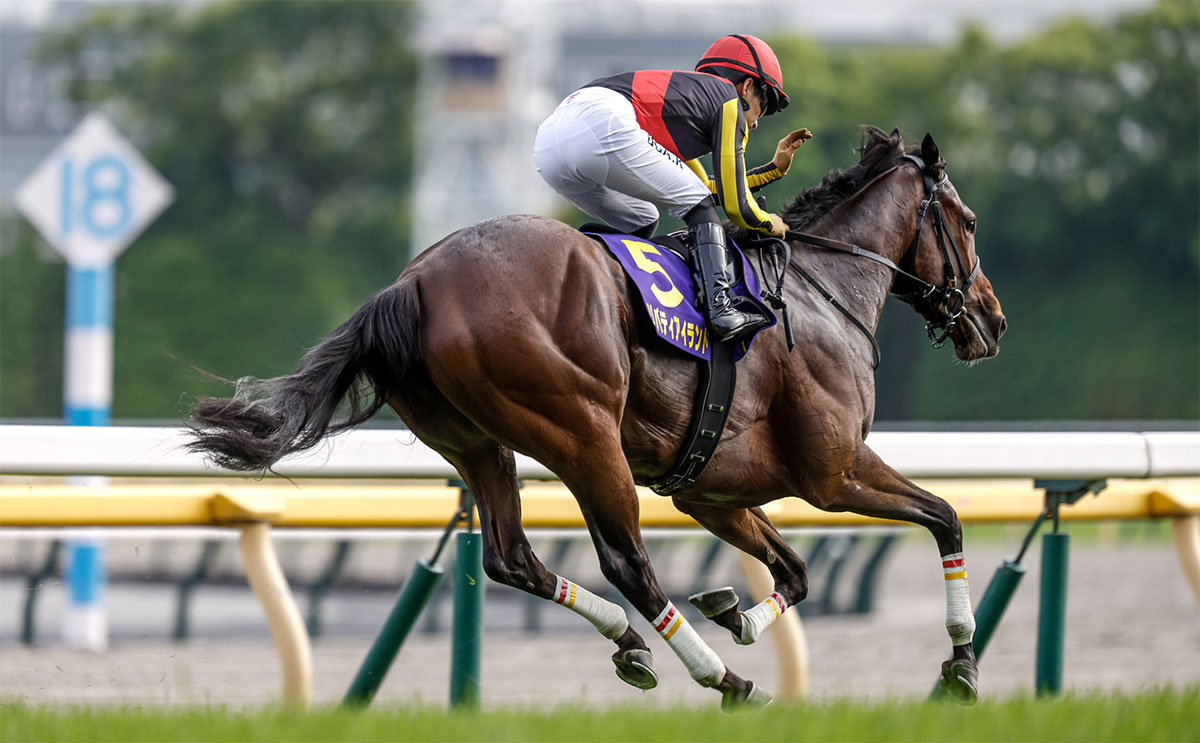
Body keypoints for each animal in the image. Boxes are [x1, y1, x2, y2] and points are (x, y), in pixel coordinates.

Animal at [187, 126, 1008, 710]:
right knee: (628, 563)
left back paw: (632, 645)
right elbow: (945, 517)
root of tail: (412, 283)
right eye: (967, 222)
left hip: (478, 443)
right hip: (582, 431)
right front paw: (963, 663)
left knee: (511, 556)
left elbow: (797, 571)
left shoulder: (712, 491)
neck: (819, 288)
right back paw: (722, 679)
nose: (992, 321)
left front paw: (738, 614)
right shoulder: (832, 473)